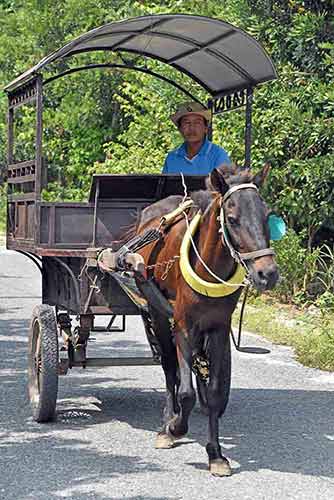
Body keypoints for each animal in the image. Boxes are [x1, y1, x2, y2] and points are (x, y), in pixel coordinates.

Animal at [134, 165, 280, 476]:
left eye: (267, 215)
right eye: (233, 219)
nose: (268, 274)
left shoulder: (217, 328)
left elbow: (212, 391)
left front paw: (216, 454)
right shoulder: (183, 326)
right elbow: (186, 390)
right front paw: (175, 427)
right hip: (158, 314)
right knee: (169, 369)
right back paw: (167, 422)